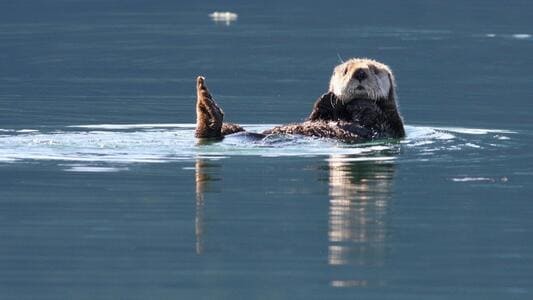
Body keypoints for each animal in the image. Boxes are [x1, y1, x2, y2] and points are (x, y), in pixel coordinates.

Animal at [194, 59, 404, 144]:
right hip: (233, 129)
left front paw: (361, 104)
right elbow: (316, 115)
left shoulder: (392, 126)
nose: (360, 72)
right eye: (346, 71)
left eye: (374, 70)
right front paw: (328, 97)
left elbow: (380, 119)